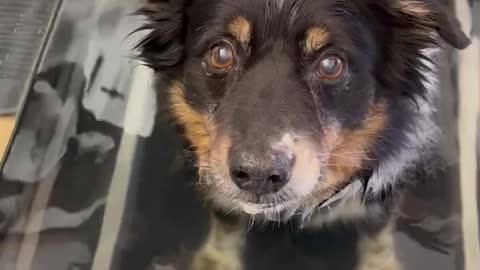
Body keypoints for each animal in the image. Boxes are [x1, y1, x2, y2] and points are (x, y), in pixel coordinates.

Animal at [134, 1, 468, 268]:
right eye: (221, 54)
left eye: (331, 64)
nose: (258, 176)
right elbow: (225, 222)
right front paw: (215, 260)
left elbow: (377, 234)